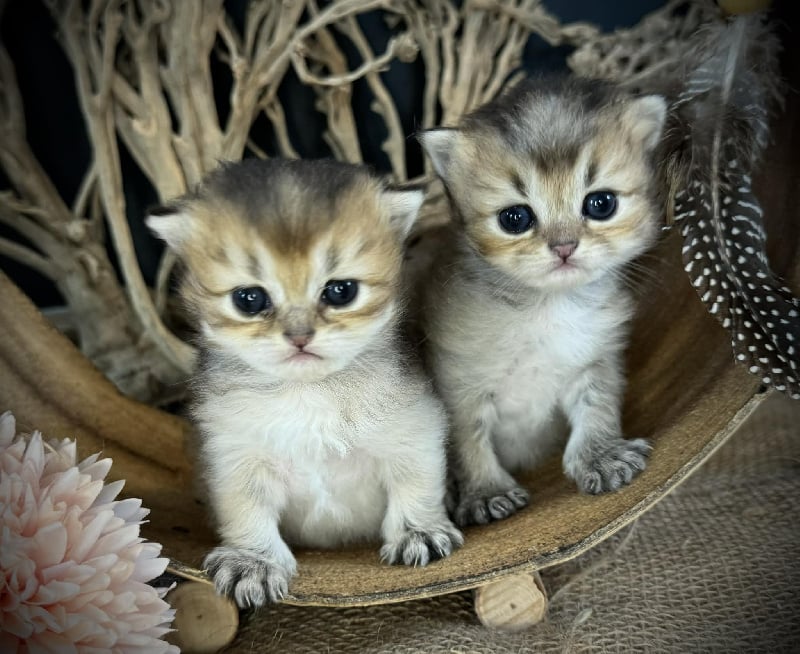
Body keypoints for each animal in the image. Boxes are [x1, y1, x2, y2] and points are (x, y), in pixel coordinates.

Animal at [147, 159, 462, 608]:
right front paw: (253, 561)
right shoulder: (234, 455)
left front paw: (418, 532)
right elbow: (246, 509)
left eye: (341, 291)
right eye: (249, 299)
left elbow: (415, 482)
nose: (299, 336)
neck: (310, 392)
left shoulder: (415, 428)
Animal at [418, 78, 668, 528]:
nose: (564, 247)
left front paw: (601, 457)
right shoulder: (458, 383)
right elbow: (467, 441)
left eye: (601, 204)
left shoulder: (595, 360)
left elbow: (597, 407)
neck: (546, 309)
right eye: (515, 218)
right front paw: (485, 491)